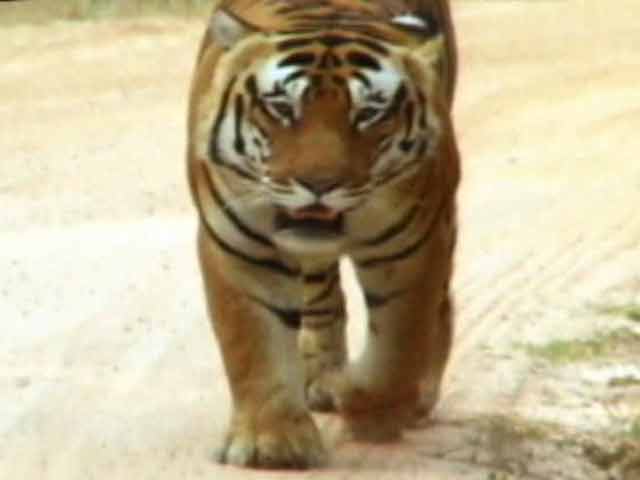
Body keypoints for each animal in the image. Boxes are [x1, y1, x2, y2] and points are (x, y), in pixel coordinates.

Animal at [187, 0, 460, 469]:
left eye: (368, 113)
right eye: (281, 107)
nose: (319, 184)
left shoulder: (411, 249)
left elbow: (399, 349)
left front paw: (368, 409)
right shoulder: (239, 246)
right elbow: (253, 344)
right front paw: (271, 442)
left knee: (439, 307)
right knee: (322, 300)